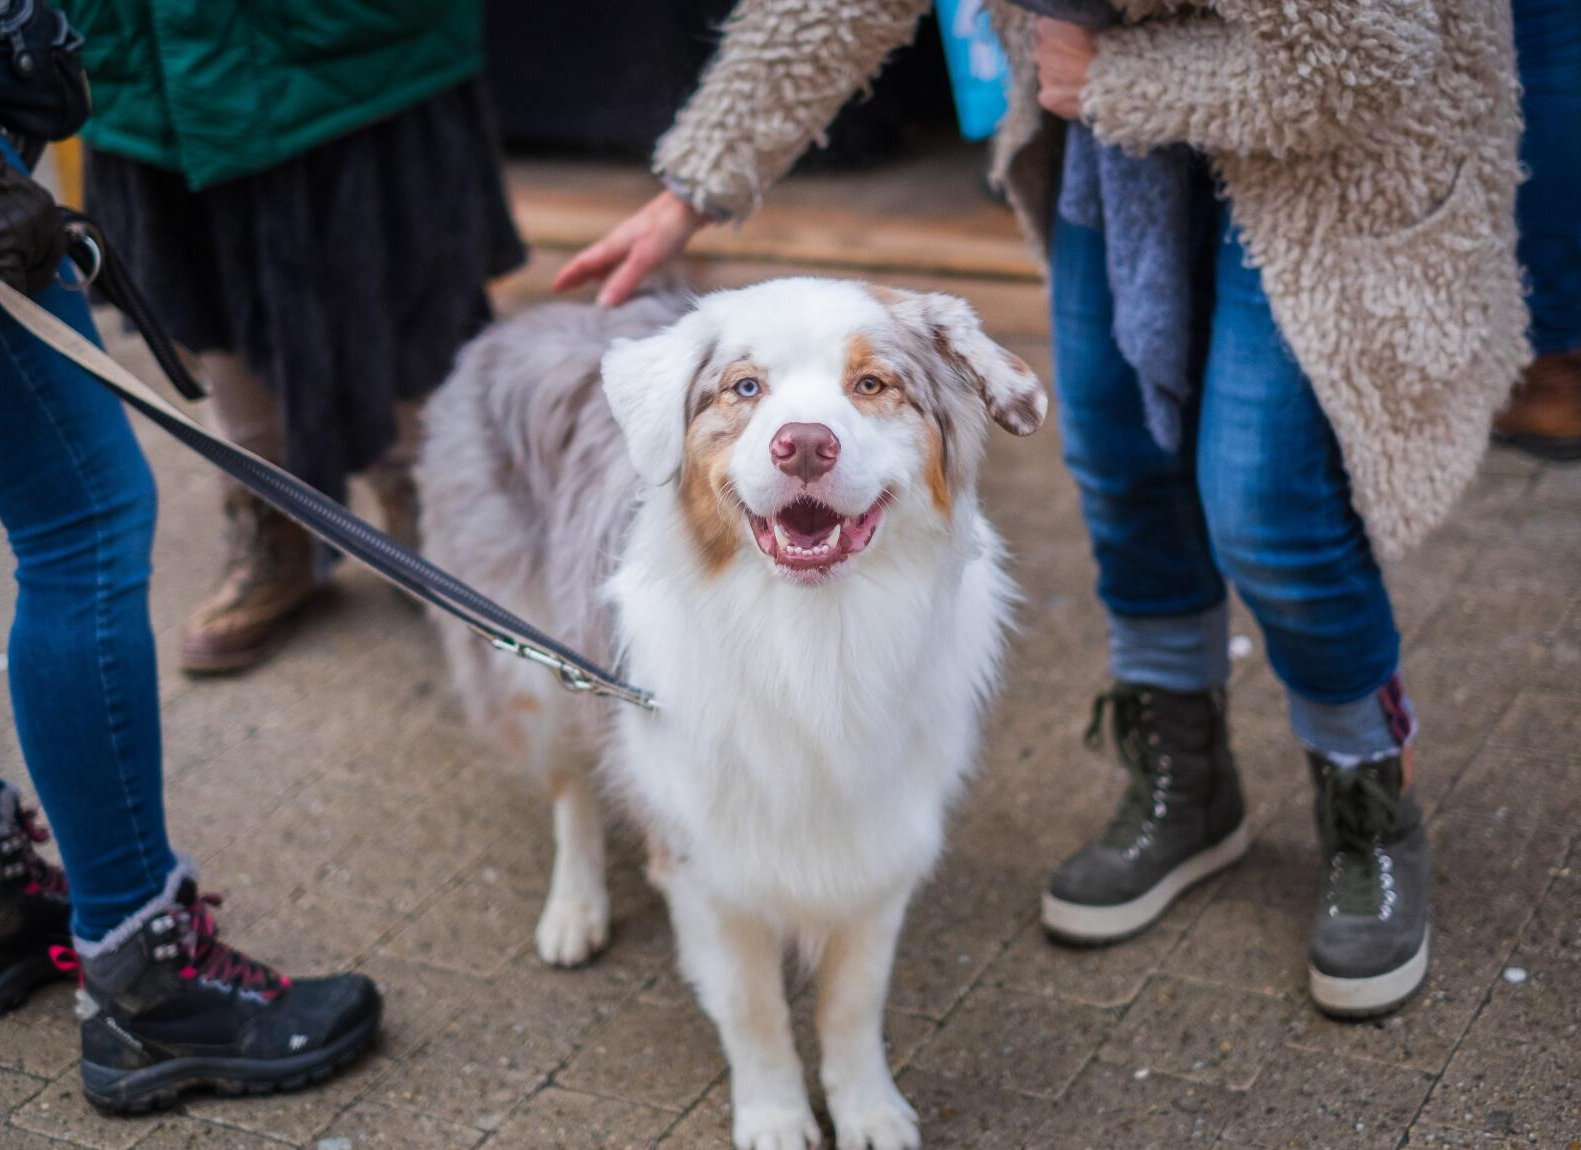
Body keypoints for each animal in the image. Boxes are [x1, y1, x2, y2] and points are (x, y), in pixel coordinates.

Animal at [419, 277, 1046, 1150]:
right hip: (534, 666)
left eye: (871, 384)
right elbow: (752, 1010)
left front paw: (867, 1110)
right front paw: (777, 1116)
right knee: (571, 787)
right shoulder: (704, 858)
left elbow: (853, 1002)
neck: (813, 639)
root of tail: (532, 314)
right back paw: (574, 909)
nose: (805, 445)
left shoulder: (881, 836)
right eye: (745, 388)